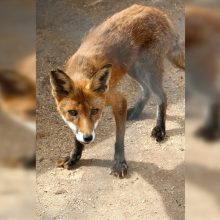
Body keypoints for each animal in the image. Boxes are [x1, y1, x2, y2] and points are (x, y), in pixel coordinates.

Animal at [49, 4, 184, 178]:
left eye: (95, 111)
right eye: (72, 112)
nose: (88, 138)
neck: (82, 70)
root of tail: (156, 10)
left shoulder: (118, 100)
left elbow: (119, 140)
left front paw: (119, 163)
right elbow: (76, 139)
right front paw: (74, 157)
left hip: (148, 69)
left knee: (162, 96)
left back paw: (160, 128)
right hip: (134, 68)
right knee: (146, 90)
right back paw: (136, 112)